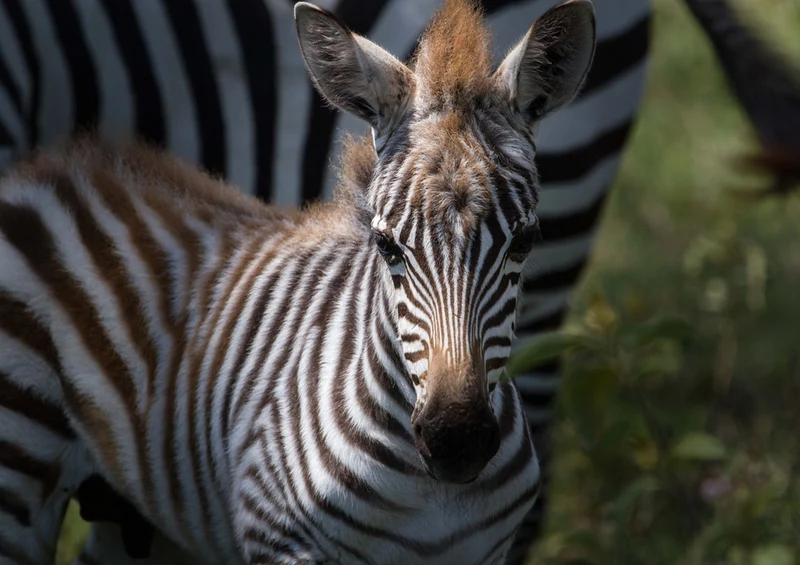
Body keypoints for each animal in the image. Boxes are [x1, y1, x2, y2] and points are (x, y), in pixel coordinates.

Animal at [0, 0, 651, 562]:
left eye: (524, 241)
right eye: (387, 246)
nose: (457, 442)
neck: (429, 495)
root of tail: (50, 167)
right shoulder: (284, 542)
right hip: (21, 457)